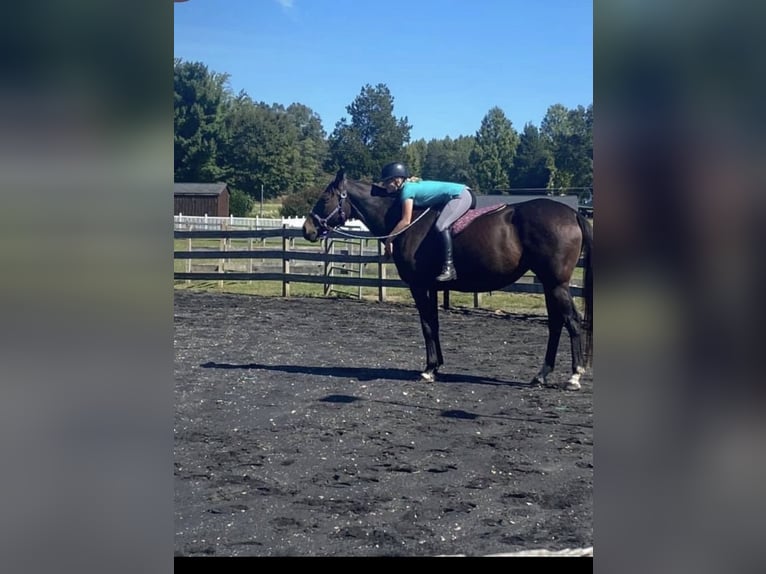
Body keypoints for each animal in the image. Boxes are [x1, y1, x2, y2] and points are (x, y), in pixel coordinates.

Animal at [302, 169, 593, 390]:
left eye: (325, 197)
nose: (307, 229)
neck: (406, 220)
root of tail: (571, 213)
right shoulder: (431, 287)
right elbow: (434, 324)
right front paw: (437, 365)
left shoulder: (419, 287)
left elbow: (427, 325)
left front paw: (430, 369)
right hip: (549, 283)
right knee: (556, 324)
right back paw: (541, 375)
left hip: (556, 284)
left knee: (571, 321)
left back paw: (574, 376)